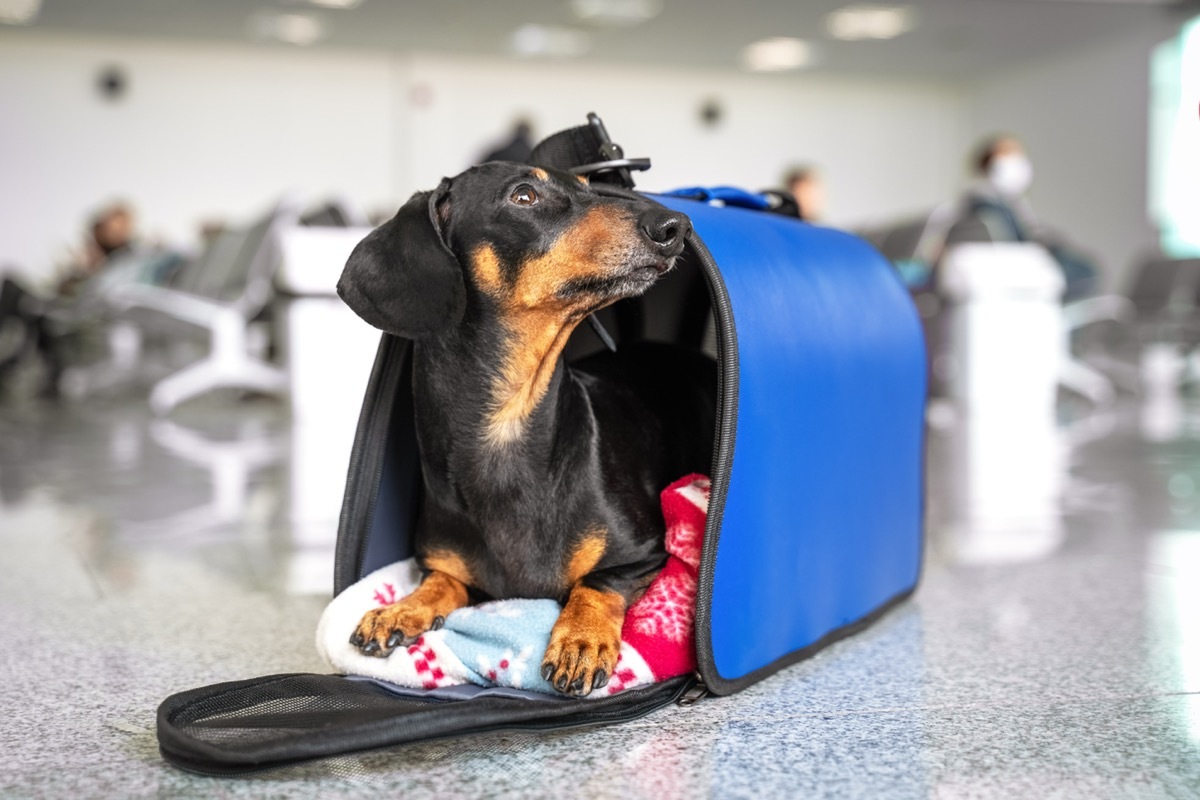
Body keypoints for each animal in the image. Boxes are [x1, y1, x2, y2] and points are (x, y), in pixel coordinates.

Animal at [338, 160, 710, 695]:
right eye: (524, 196)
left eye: (588, 187)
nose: (676, 226)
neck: (508, 429)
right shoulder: (444, 564)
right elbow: (443, 580)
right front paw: (400, 609)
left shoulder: (644, 553)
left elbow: (596, 582)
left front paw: (580, 639)